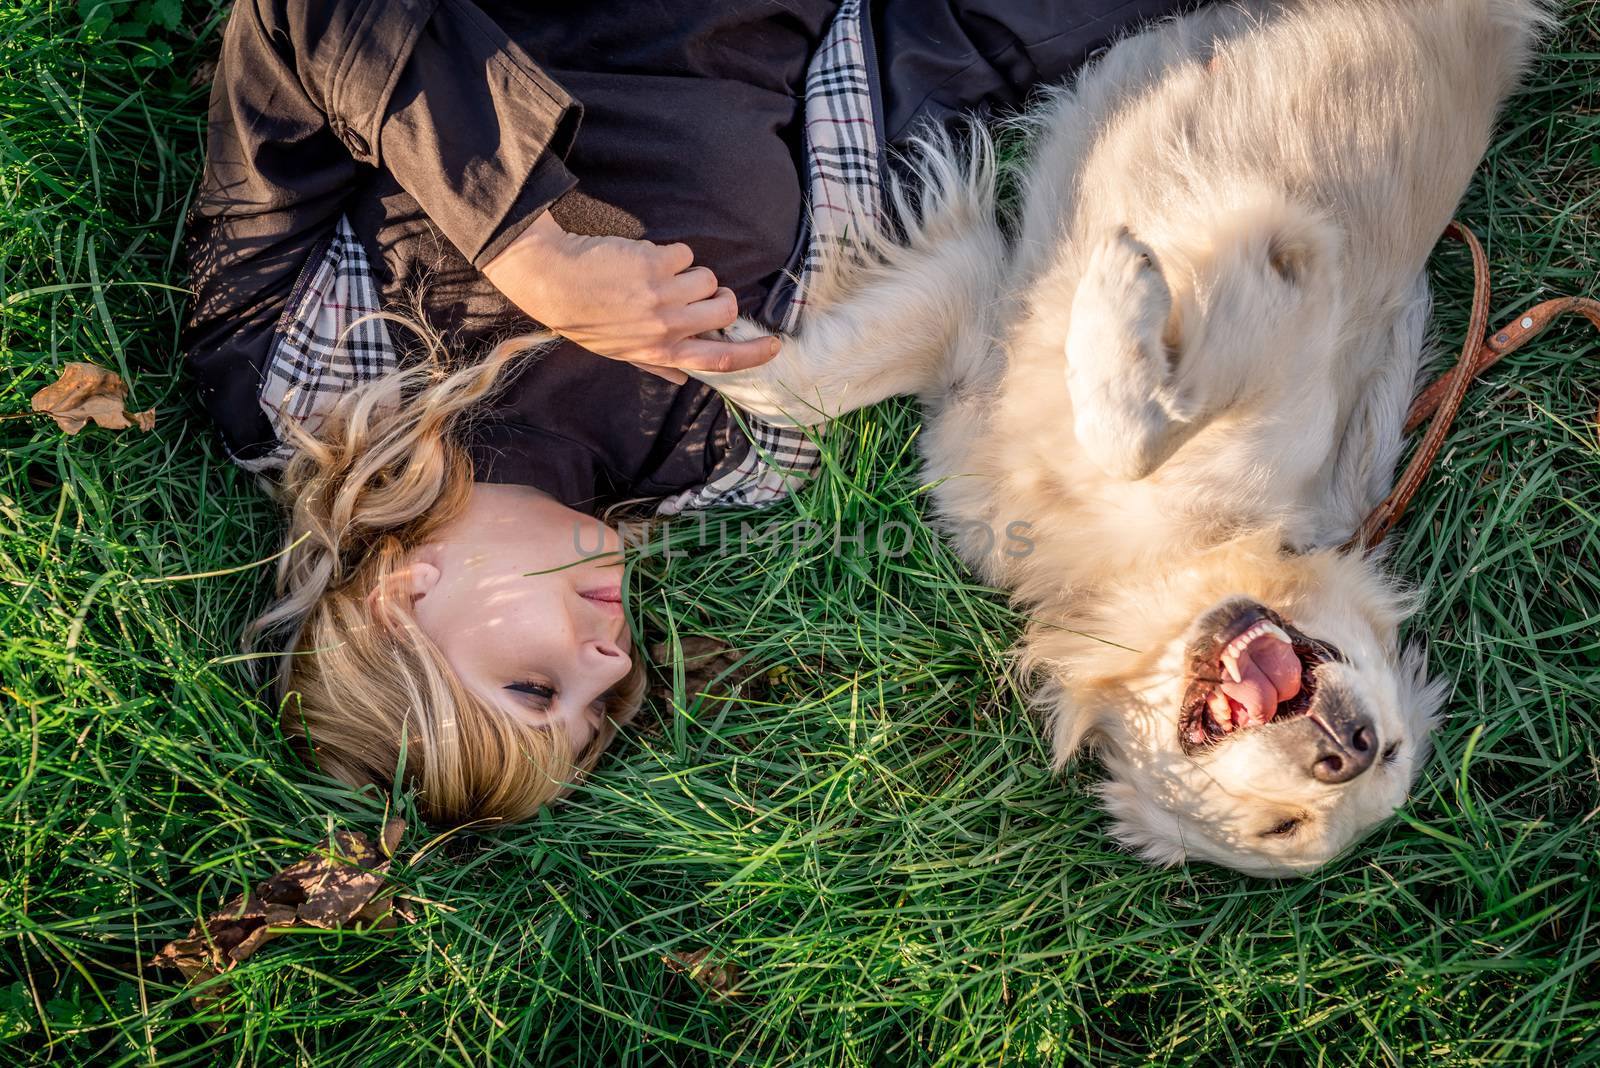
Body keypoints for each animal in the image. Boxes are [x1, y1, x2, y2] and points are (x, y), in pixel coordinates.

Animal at [700, 0, 1548, 876]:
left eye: (1281, 830)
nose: (1349, 748)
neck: (1163, 555)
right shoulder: (980, 334)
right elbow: (803, 391)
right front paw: (705, 342)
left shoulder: (1293, 295)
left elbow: (1129, 432)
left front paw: (1117, 284)